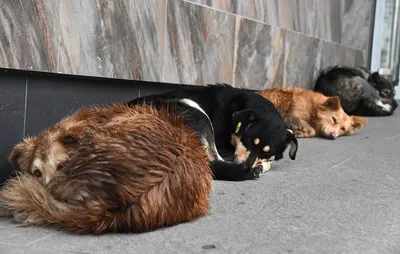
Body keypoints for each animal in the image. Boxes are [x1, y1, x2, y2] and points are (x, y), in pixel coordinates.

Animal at [126, 83, 298, 181]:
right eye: (249, 140)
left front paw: (261, 164)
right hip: (194, 110)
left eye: (267, 152)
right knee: (213, 163)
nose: (246, 166)